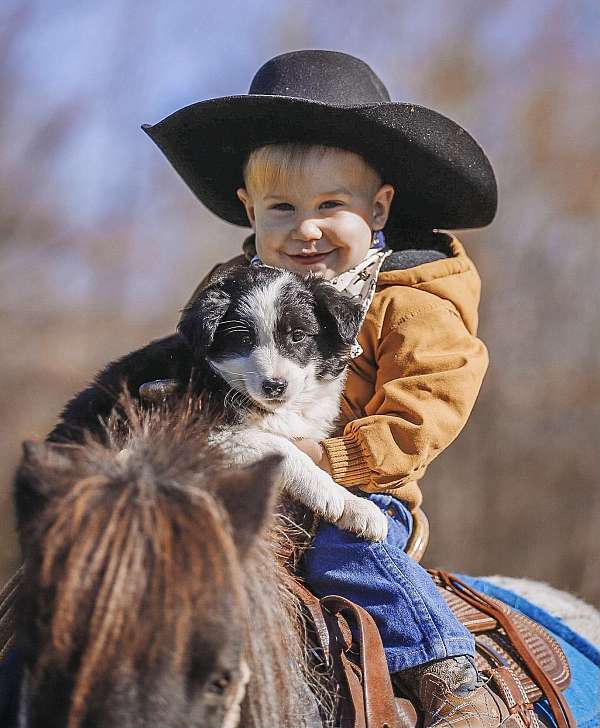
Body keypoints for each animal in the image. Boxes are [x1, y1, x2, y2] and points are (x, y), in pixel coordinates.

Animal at [50, 268, 390, 540]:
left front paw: (358, 509)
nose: (274, 386)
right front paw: (330, 495)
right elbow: (285, 449)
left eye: (298, 335)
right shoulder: (206, 430)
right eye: (244, 340)